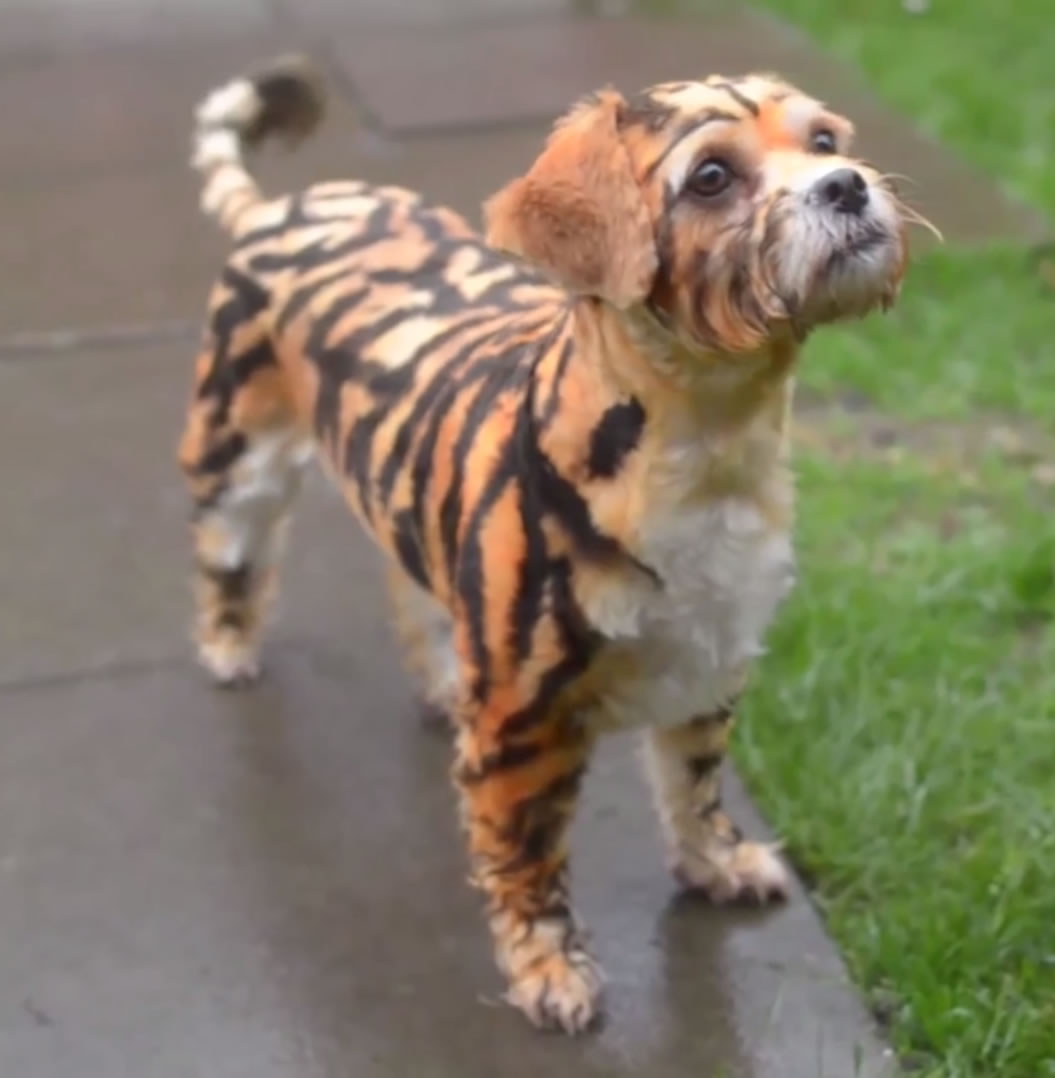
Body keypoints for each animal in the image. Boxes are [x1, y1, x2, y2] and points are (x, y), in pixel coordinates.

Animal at [178, 54, 915, 1034]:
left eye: (825, 140)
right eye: (711, 177)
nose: (846, 184)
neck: (709, 448)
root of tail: (278, 208)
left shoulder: (710, 662)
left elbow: (693, 786)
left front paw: (713, 863)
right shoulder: (526, 721)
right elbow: (526, 856)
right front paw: (548, 968)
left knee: (410, 593)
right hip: (238, 457)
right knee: (232, 556)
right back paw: (228, 644)